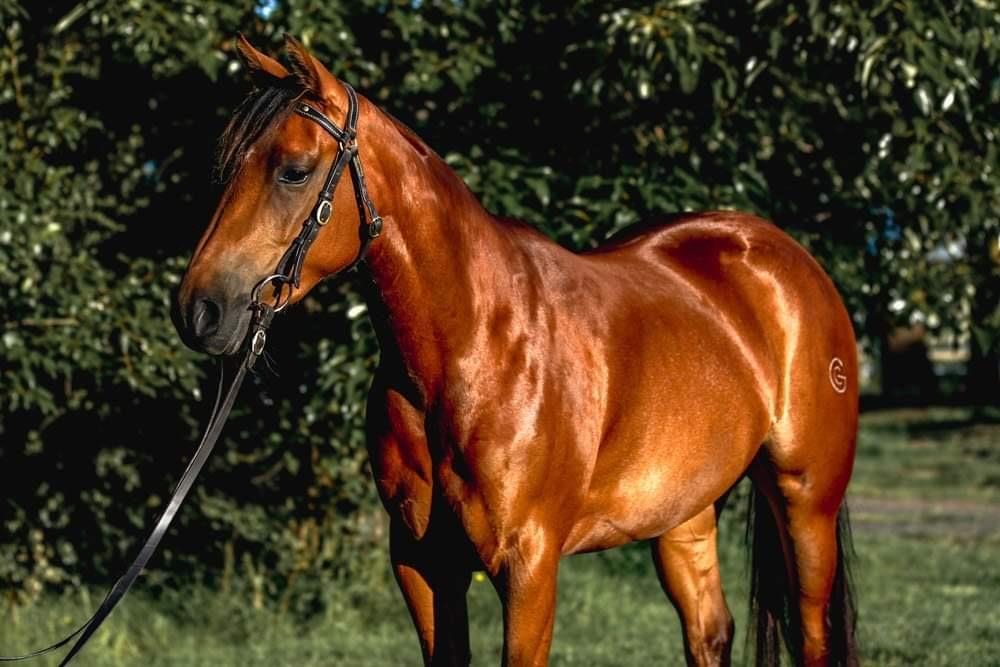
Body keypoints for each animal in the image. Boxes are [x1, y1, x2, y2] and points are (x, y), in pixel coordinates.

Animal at [173, 35, 858, 667]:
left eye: (293, 170)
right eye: (226, 167)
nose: (199, 310)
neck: (472, 347)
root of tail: (781, 256)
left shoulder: (528, 564)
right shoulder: (422, 562)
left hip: (805, 504)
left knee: (813, 635)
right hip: (683, 512)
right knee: (709, 632)